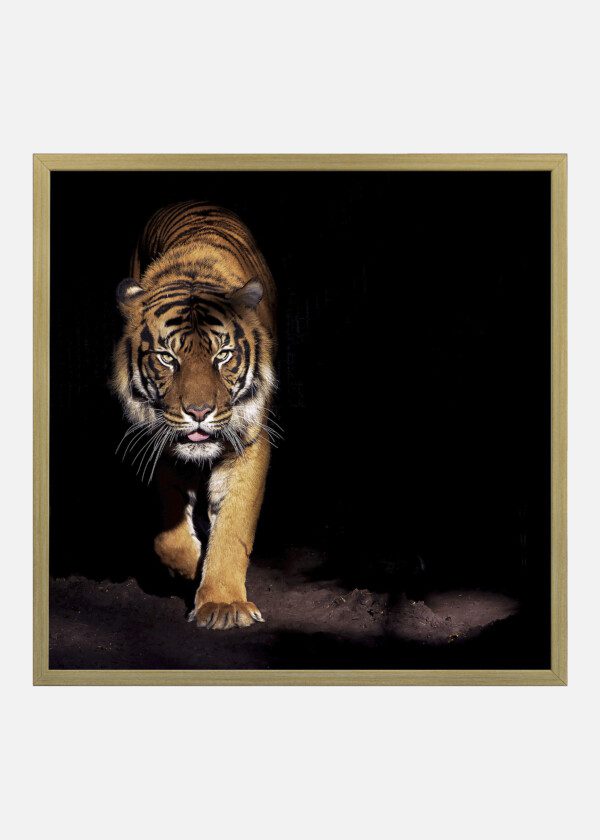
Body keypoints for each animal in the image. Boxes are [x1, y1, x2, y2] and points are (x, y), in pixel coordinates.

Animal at [111, 200, 277, 630]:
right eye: (168, 358)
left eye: (223, 355)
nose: (199, 412)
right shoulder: (160, 439)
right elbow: (167, 533)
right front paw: (190, 566)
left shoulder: (249, 440)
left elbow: (233, 526)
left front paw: (223, 604)